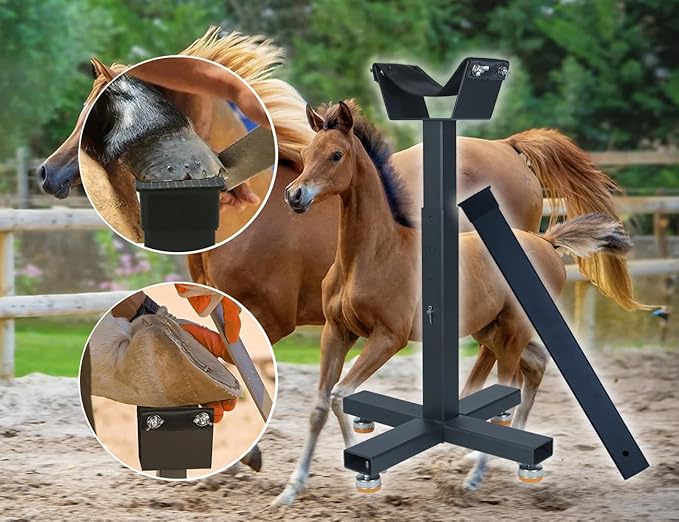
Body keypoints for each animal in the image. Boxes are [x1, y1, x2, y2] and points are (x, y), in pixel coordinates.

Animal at [274, 100, 636, 505]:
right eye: (307, 153)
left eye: (336, 155)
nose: (294, 195)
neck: (372, 254)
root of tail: (546, 241)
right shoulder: (336, 332)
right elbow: (321, 404)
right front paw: (290, 489)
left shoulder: (388, 337)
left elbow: (341, 395)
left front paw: (364, 471)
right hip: (492, 330)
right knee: (536, 366)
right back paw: (519, 465)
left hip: (511, 332)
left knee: (511, 387)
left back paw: (477, 474)